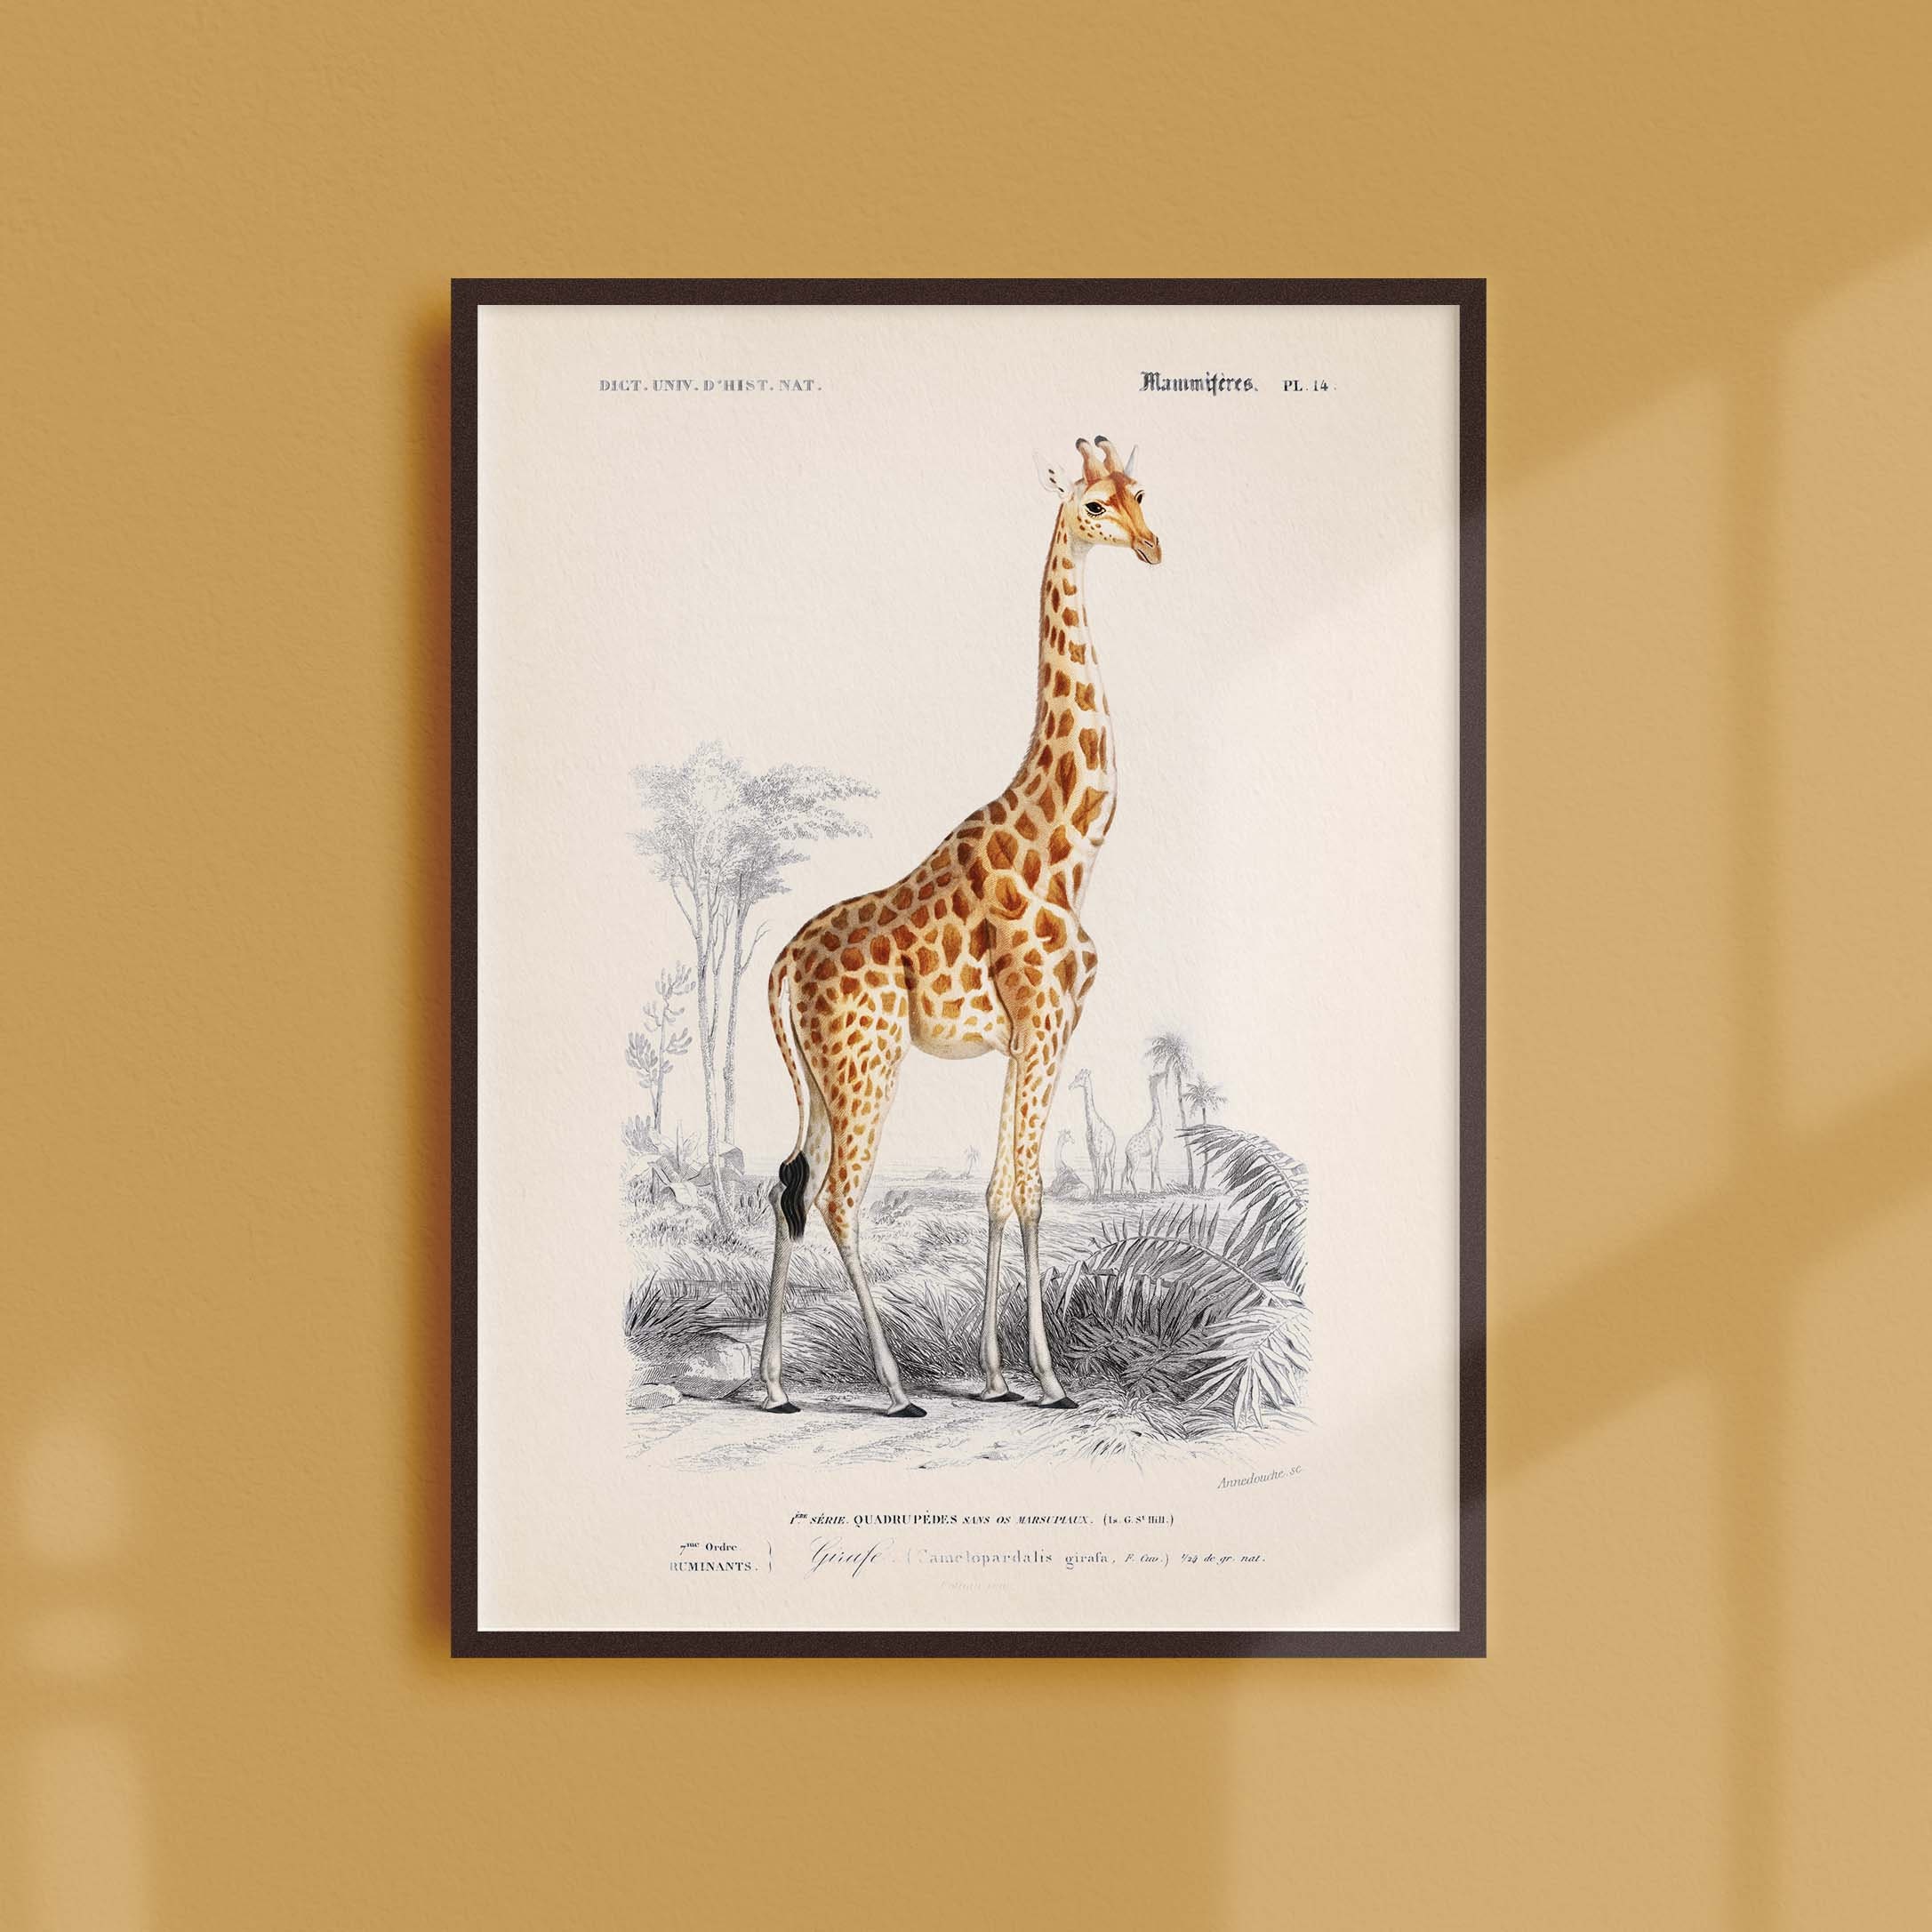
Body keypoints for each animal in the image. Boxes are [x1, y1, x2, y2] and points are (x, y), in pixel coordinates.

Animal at [1068, 1067, 1118, 1196]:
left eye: (1081, 1077)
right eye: (1076, 1076)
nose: (1070, 1086)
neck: (1092, 1125)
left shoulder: (1100, 1153)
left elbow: (1098, 1172)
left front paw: (1098, 1195)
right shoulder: (1091, 1153)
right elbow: (1095, 1173)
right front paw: (1095, 1194)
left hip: (1111, 1154)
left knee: (1112, 1170)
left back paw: (1111, 1192)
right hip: (1103, 1156)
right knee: (1105, 1171)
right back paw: (1102, 1191)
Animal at [1121, 1072, 1165, 1193]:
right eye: (1157, 1075)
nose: (1165, 1073)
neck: (1156, 1123)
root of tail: (1126, 1151)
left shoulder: (1157, 1150)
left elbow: (1157, 1169)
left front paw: (1163, 1188)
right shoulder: (1154, 1149)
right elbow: (1153, 1168)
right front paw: (1152, 1189)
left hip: (1130, 1161)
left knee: (1123, 1173)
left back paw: (1121, 1191)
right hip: (1136, 1159)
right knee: (1131, 1176)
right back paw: (1136, 1193)